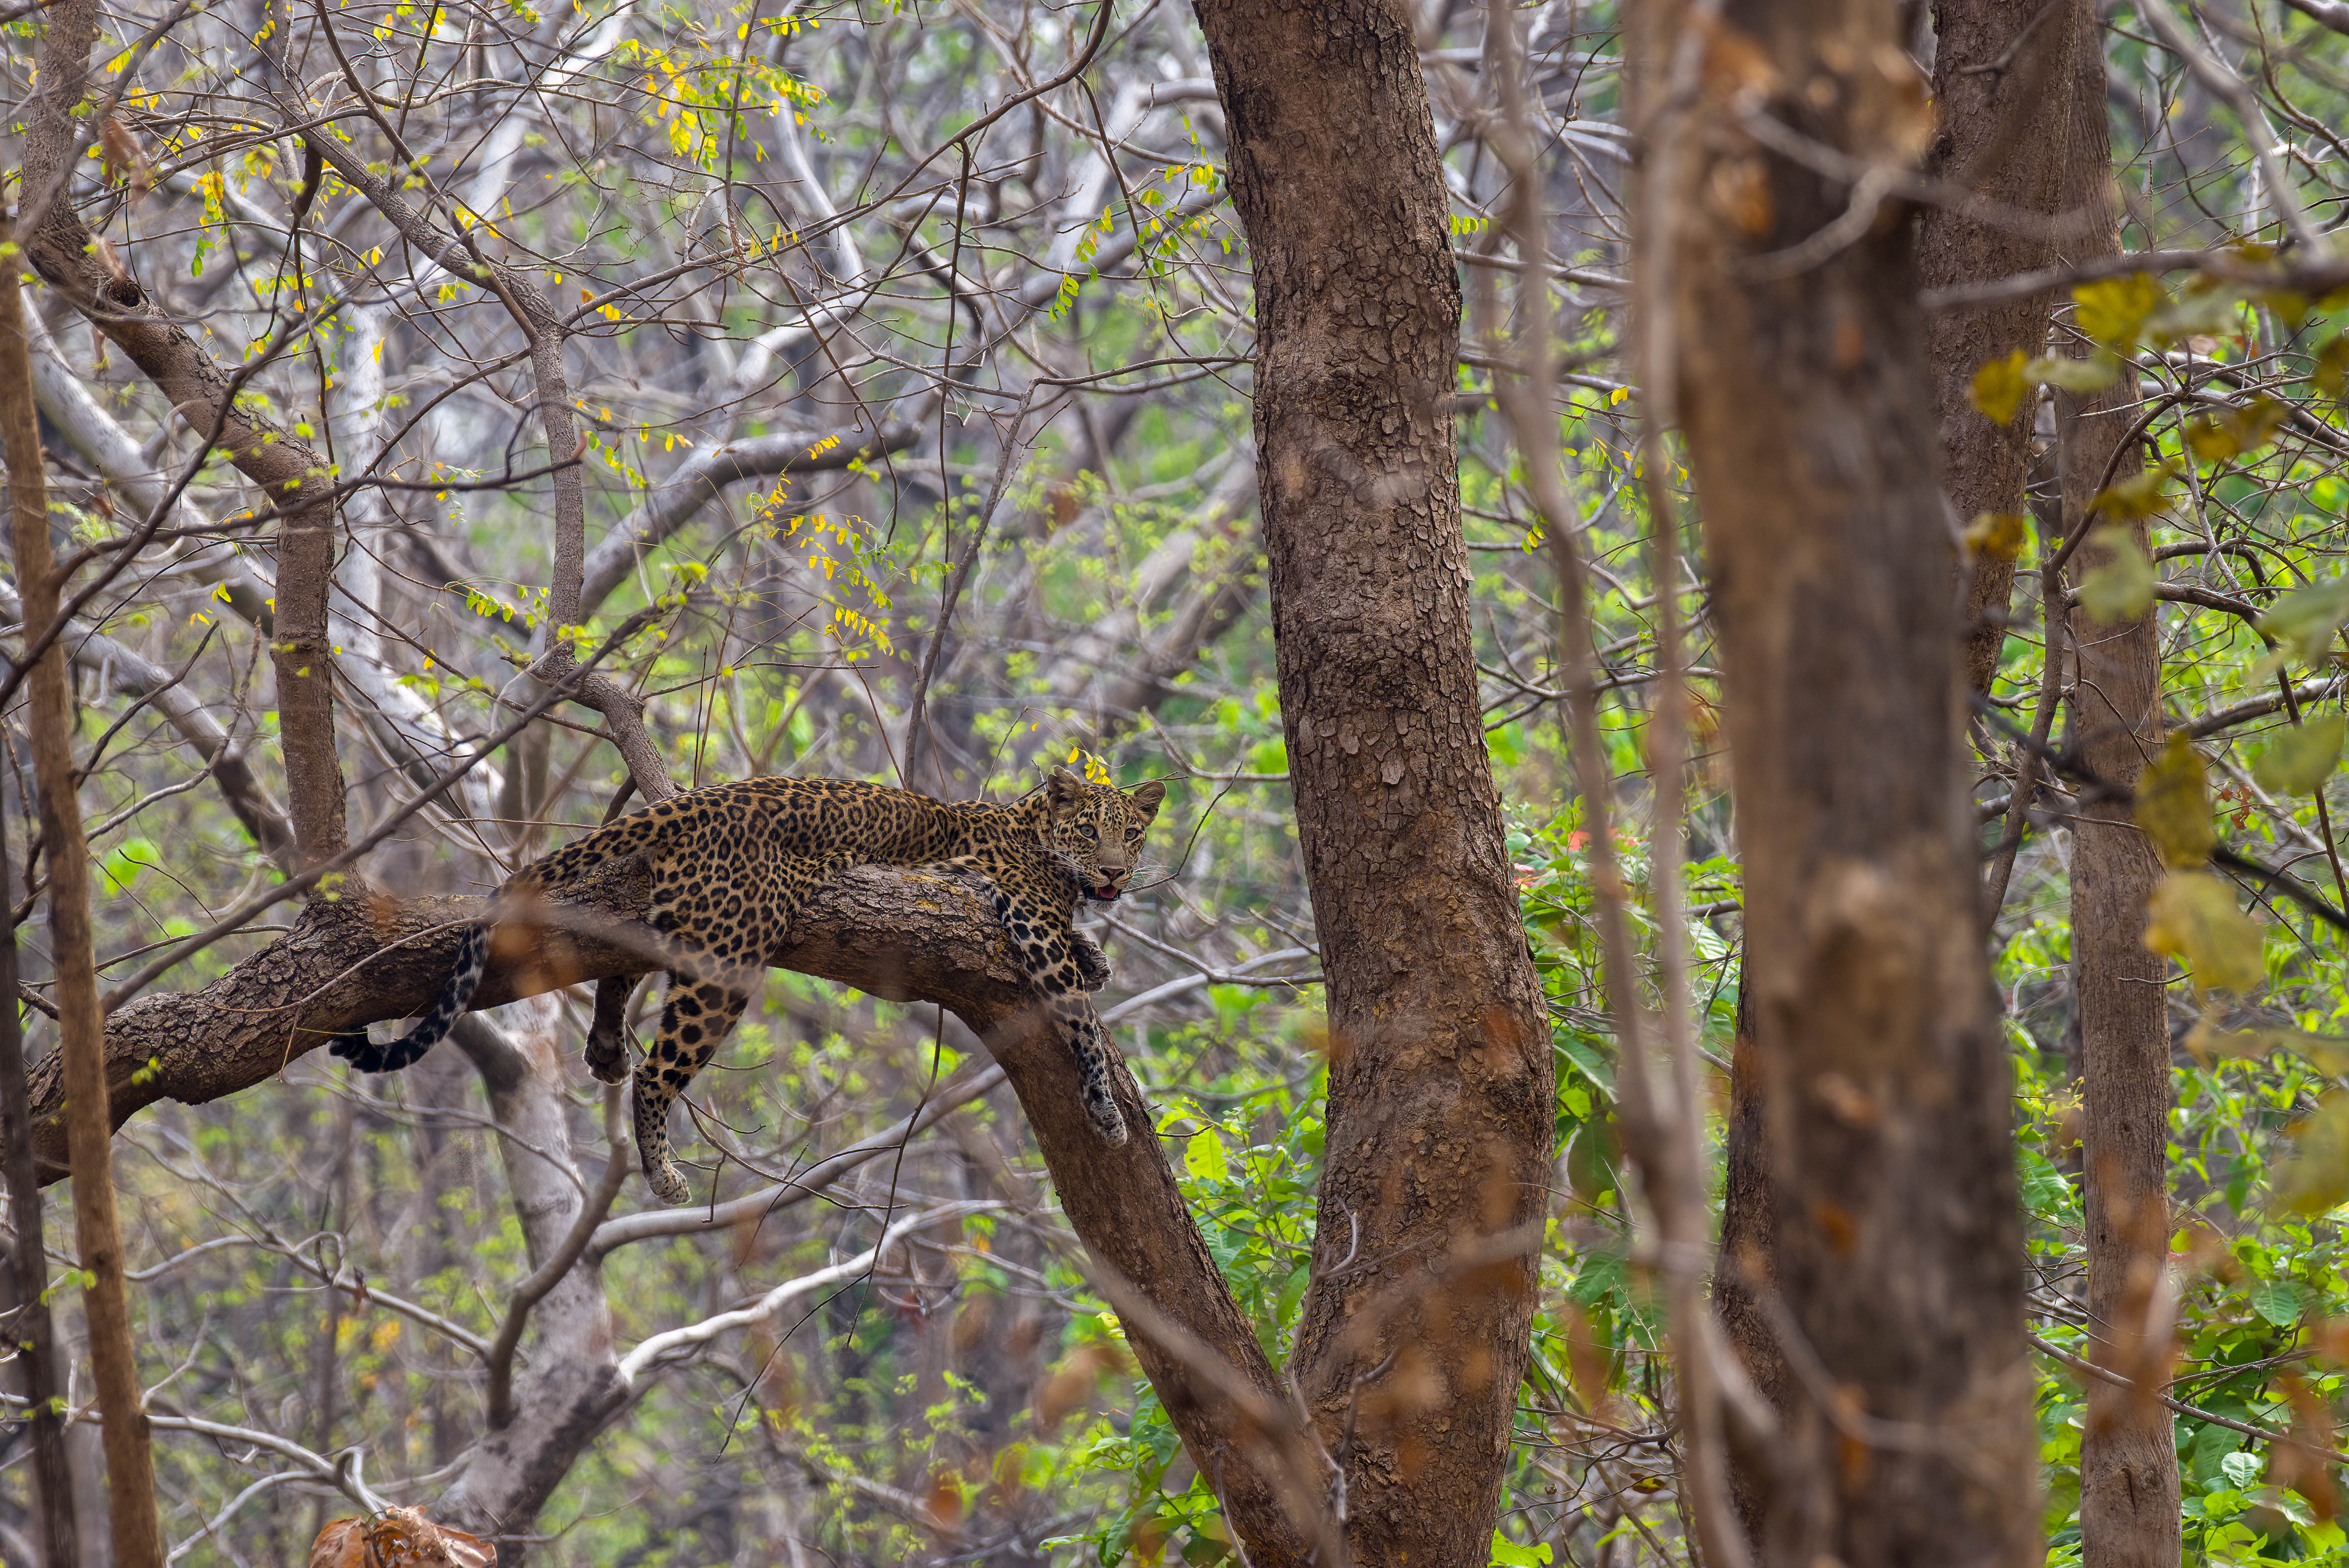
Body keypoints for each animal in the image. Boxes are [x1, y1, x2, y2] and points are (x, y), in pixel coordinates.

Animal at [332, 767, 1165, 1203]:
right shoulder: (1031, 924)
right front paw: (1106, 1111)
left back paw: (604, 1050)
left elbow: (1088, 965)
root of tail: (694, 800)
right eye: (1090, 830)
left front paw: (1099, 954)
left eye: (1134, 832)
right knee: (658, 1073)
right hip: (729, 957)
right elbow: (1081, 1016)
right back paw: (664, 1172)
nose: (1116, 872)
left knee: (620, 970)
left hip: (678, 919)